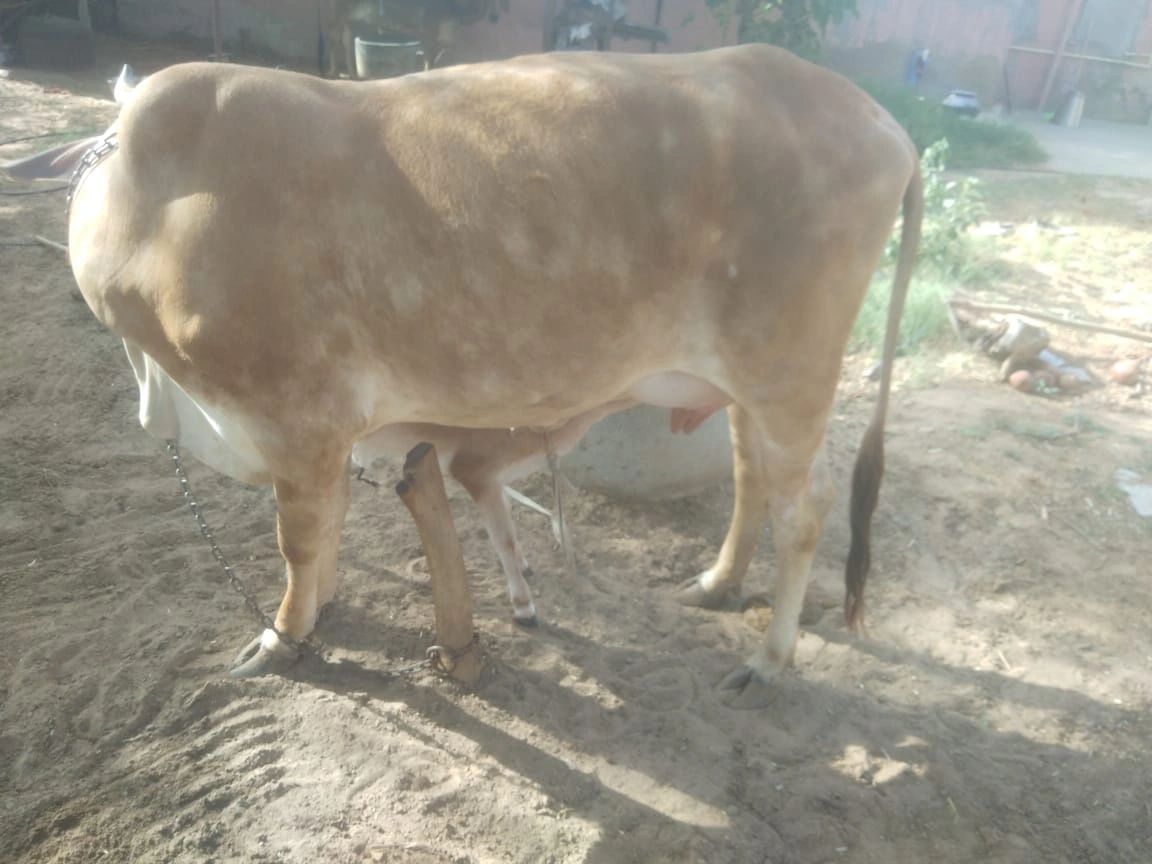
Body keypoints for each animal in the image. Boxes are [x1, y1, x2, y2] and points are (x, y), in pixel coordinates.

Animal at [9, 45, 921, 708]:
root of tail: (885, 124)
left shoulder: (297, 415)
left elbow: (298, 541)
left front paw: (283, 636)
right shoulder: (326, 434)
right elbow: (328, 529)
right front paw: (321, 609)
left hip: (790, 369)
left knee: (805, 508)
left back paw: (768, 659)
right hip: (741, 379)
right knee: (749, 473)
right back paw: (718, 584)